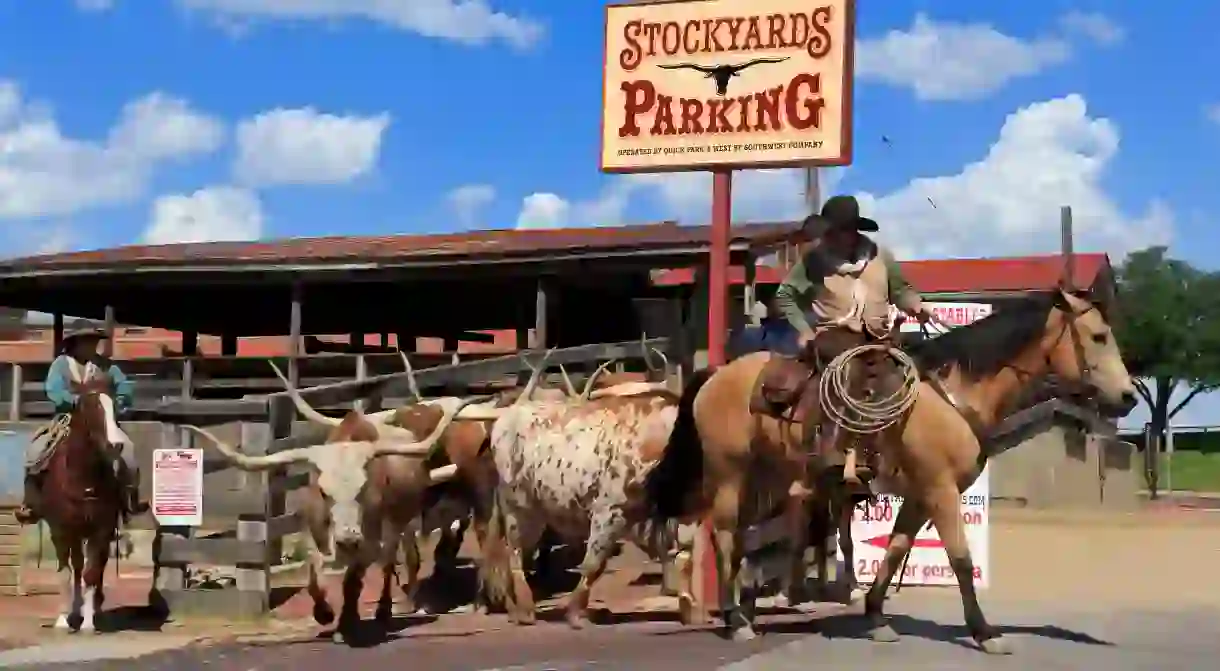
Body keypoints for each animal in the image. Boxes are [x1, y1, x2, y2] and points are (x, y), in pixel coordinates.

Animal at [644, 286, 1137, 653]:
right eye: (1098, 336)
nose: (1130, 396)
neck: (952, 395)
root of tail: (714, 374)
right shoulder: (941, 491)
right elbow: (960, 559)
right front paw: (985, 634)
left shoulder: (919, 495)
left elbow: (896, 549)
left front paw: (877, 617)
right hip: (730, 473)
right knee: (725, 536)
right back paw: (736, 621)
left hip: (764, 477)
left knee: (739, 538)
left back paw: (744, 611)